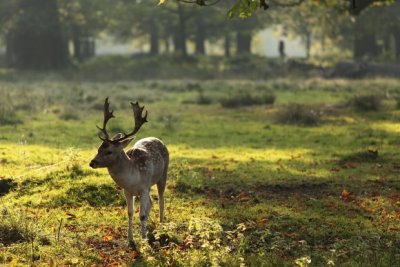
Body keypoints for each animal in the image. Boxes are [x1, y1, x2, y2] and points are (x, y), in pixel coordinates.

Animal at [89, 98, 169, 245]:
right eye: (98, 148)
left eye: (109, 151)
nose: (92, 162)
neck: (132, 178)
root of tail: (157, 138)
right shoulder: (127, 191)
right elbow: (130, 213)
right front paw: (130, 239)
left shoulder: (143, 188)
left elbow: (141, 214)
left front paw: (143, 240)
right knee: (151, 203)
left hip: (163, 175)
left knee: (161, 201)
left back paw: (161, 226)